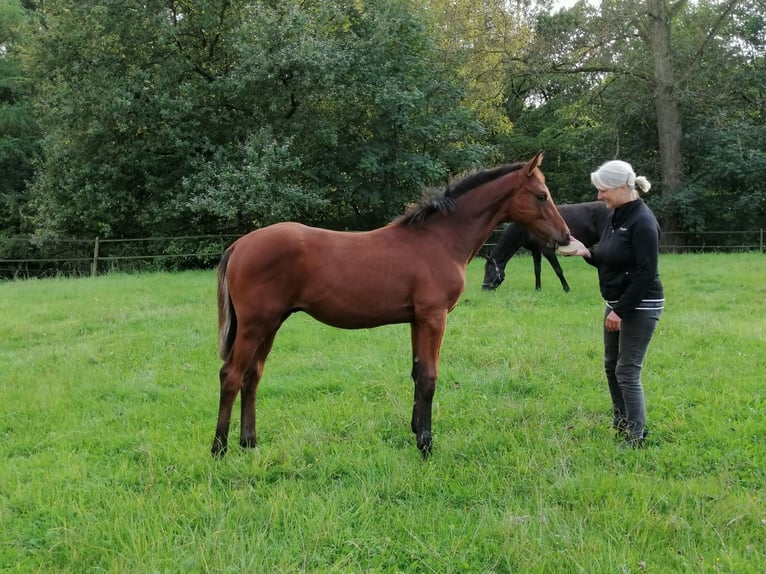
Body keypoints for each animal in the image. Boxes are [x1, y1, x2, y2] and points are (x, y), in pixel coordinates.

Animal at [213, 152, 572, 460]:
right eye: (542, 195)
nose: (565, 236)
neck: (440, 239)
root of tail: (239, 245)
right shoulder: (433, 317)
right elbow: (429, 377)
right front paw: (426, 445)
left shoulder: (416, 319)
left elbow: (416, 372)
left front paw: (415, 432)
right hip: (255, 325)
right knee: (231, 375)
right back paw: (219, 449)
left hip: (271, 324)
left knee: (252, 376)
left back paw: (249, 444)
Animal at [480, 201, 612, 292]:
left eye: (488, 270)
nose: (484, 288)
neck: (525, 229)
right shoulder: (536, 251)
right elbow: (537, 270)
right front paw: (538, 289)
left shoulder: (547, 251)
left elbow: (558, 270)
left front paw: (567, 289)